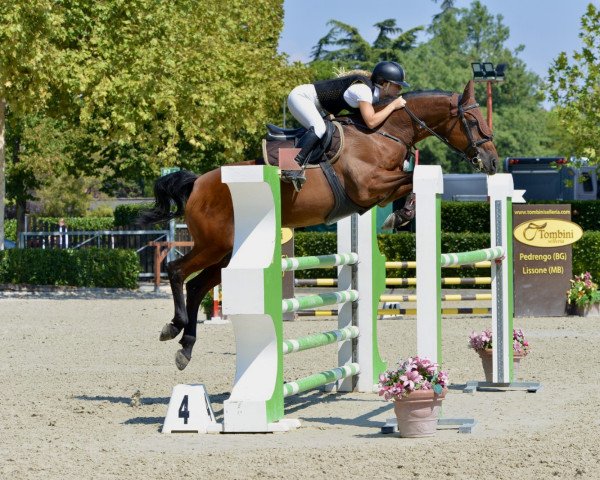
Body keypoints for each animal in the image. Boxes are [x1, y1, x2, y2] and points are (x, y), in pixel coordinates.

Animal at [139, 80, 496, 370]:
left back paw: (185, 347)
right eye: (474, 122)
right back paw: (173, 326)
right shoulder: (367, 185)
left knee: (197, 286)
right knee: (176, 271)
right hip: (213, 244)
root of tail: (198, 182)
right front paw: (402, 214)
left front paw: (402, 214)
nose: (492, 162)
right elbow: (410, 177)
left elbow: (407, 181)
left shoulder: (375, 192)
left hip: (228, 252)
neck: (384, 132)